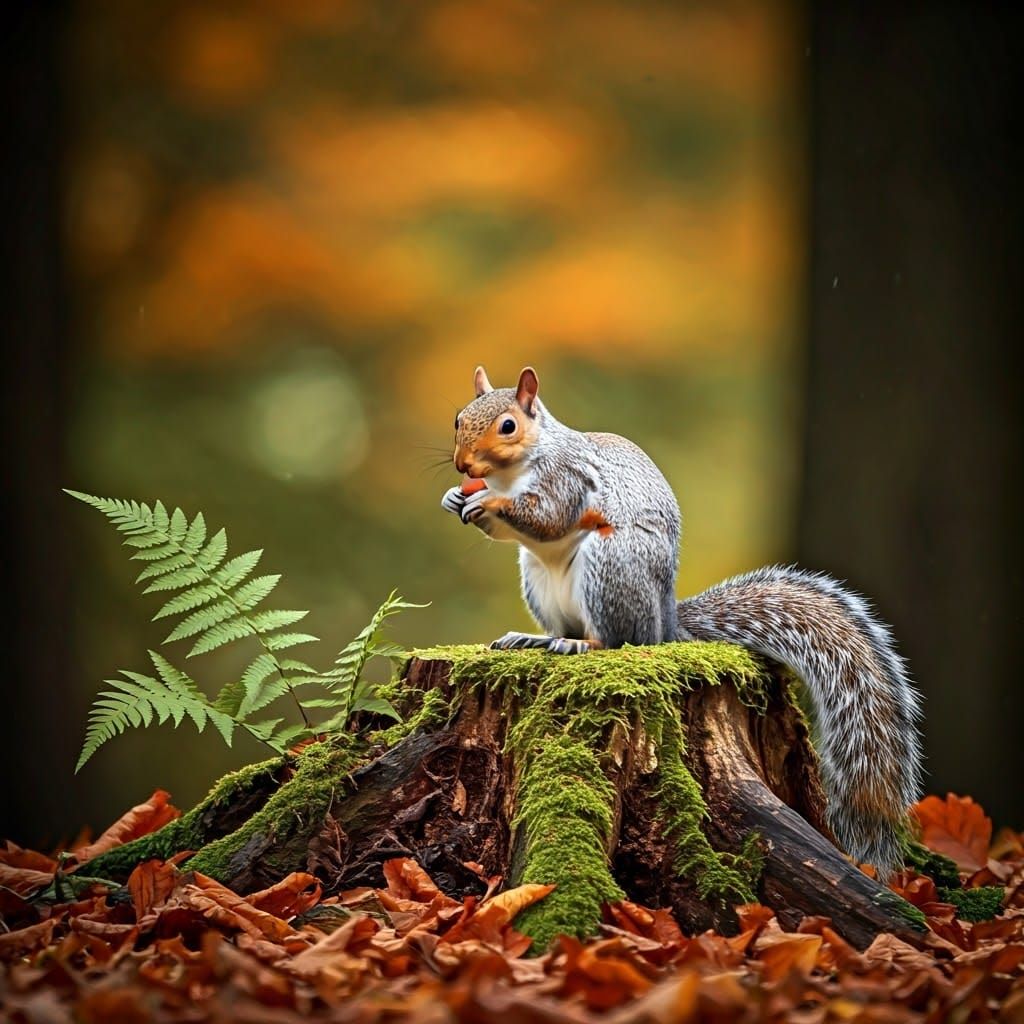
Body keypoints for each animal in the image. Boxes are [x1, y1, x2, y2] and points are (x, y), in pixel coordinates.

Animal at [440, 365, 924, 878]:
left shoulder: (566, 479)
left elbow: (548, 517)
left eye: (508, 426)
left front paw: (491, 503)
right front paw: (455, 497)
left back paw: (581, 645)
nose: (463, 467)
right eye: (458, 418)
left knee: (617, 639)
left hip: (611, 566)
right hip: (537, 578)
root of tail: (665, 624)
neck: (513, 472)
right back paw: (535, 639)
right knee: (564, 625)